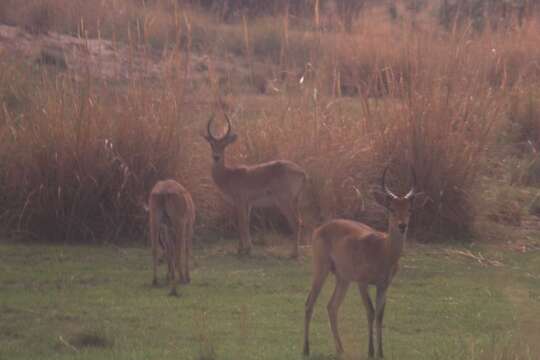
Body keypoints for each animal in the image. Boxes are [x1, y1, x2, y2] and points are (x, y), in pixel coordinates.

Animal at [202, 114, 306, 258]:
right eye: (211, 143)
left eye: (224, 144)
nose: (216, 157)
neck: (229, 175)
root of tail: (302, 172)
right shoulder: (248, 203)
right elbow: (246, 222)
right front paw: (244, 248)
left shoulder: (239, 201)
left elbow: (241, 223)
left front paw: (244, 249)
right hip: (296, 201)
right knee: (300, 221)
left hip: (284, 201)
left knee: (296, 222)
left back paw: (293, 254)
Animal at [304, 165, 426, 358]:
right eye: (391, 208)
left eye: (409, 210)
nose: (402, 225)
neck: (382, 250)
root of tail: (320, 228)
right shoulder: (362, 283)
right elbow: (370, 311)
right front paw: (370, 351)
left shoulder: (383, 285)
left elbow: (380, 315)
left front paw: (381, 352)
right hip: (321, 270)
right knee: (309, 303)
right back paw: (306, 349)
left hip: (343, 279)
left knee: (332, 306)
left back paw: (340, 349)